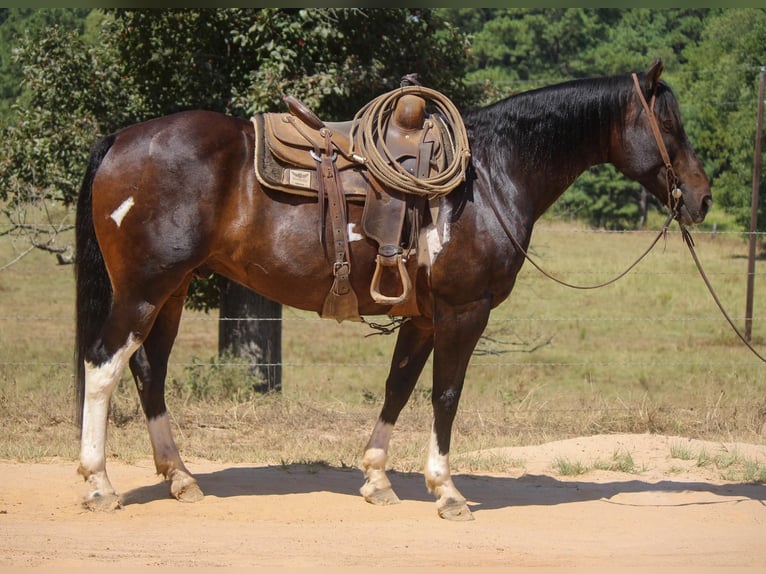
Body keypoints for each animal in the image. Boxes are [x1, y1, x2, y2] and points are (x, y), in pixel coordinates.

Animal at [73, 59, 712, 520]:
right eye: (670, 126)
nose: (702, 197)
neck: (491, 177)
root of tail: (120, 139)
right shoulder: (464, 312)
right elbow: (445, 395)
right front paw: (447, 491)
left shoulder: (424, 317)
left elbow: (398, 388)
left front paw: (378, 478)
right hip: (144, 289)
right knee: (104, 365)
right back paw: (99, 483)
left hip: (173, 292)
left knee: (148, 369)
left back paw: (180, 477)